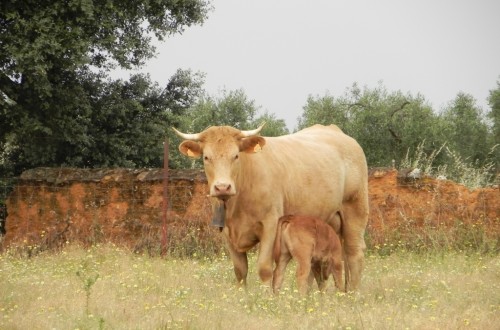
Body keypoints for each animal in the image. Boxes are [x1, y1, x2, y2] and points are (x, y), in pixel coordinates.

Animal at [174, 124, 370, 292]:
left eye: (236, 156)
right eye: (206, 157)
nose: (222, 187)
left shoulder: (270, 225)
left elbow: (264, 268)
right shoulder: (227, 232)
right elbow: (240, 271)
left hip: (355, 211)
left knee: (354, 253)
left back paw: (352, 293)